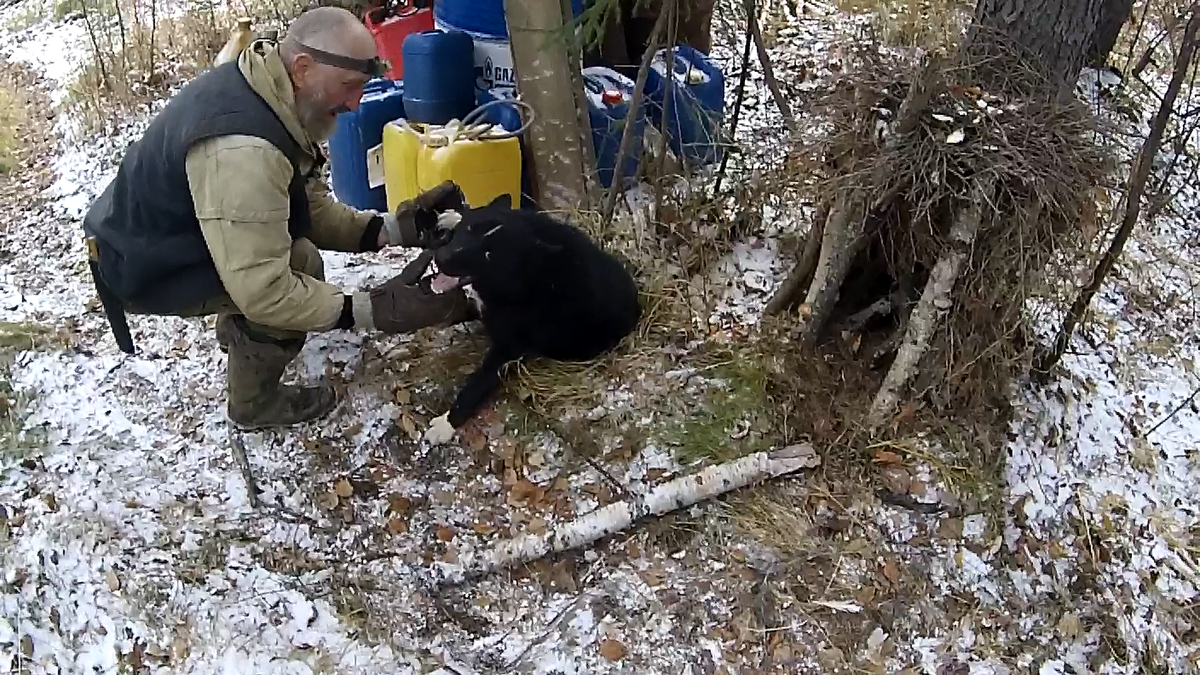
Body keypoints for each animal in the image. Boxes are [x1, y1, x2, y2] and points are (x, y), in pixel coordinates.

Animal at [420, 193, 643, 441]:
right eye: (466, 230)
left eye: (490, 254)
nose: (440, 258)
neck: (525, 276)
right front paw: (453, 215)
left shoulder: (509, 348)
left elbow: (478, 382)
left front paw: (447, 423)